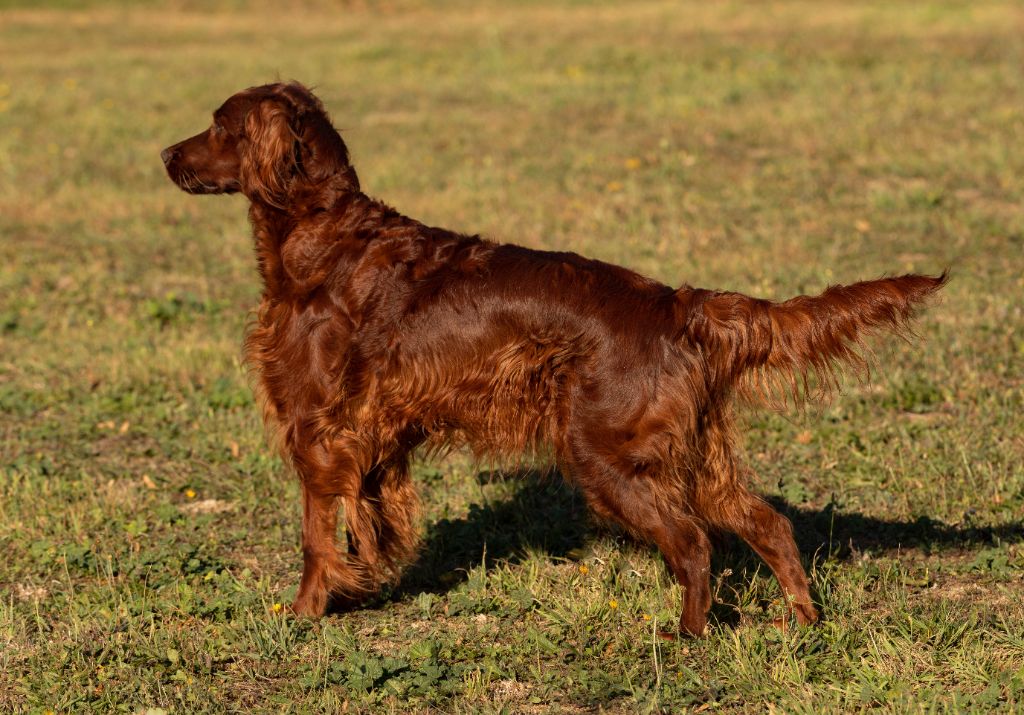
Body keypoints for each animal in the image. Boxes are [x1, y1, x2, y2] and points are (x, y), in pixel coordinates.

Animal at [163, 81, 946, 635]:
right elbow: (368, 527)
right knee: (767, 524)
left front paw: (302, 614)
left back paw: (687, 636)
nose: (165, 156)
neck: (320, 233)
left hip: (606, 452)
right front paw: (360, 588)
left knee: (694, 544)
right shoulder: (370, 439)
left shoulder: (319, 427)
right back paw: (802, 620)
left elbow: (314, 536)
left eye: (219, 125)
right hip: (688, 452)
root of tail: (678, 304)